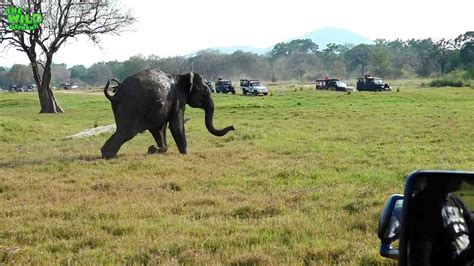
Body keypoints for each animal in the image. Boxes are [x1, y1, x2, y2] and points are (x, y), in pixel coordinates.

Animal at [101, 69, 234, 159]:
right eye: (205, 92)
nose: (233, 127)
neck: (182, 76)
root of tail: (115, 95)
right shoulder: (178, 99)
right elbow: (175, 126)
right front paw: (186, 153)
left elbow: (159, 128)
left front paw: (153, 149)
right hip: (130, 109)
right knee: (126, 133)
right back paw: (108, 155)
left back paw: (106, 154)